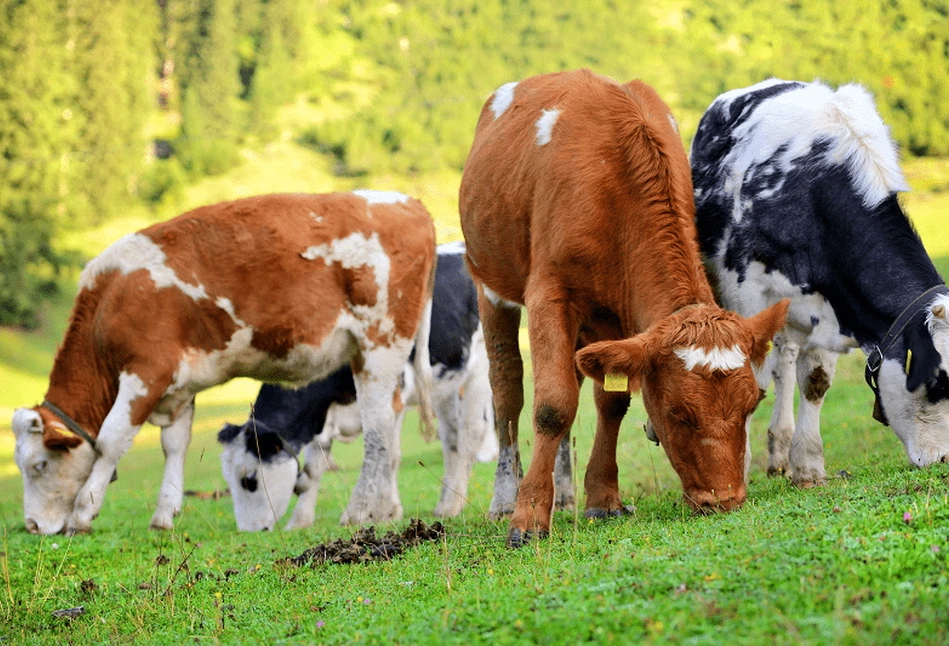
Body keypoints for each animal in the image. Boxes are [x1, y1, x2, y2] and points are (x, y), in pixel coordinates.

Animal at [10, 191, 436, 536]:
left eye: (38, 466)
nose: (32, 525)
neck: (109, 302)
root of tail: (408, 203)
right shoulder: (178, 386)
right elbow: (174, 444)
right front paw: (164, 514)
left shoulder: (146, 372)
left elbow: (109, 441)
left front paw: (84, 512)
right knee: (390, 424)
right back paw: (384, 510)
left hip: (380, 343)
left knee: (378, 426)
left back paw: (359, 510)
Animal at [217, 243, 496, 532]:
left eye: (249, 480)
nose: (248, 531)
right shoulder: (321, 414)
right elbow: (315, 468)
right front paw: (300, 520)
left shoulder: (392, 393)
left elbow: (387, 454)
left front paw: (371, 512)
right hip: (445, 387)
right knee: (452, 439)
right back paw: (447, 503)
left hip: (480, 369)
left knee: (471, 434)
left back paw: (454, 504)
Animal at [458, 69, 784, 548]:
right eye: (678, 413)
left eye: (750, 405)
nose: (725, 499)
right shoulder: (548, 293)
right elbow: (552, 404)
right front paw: (528, 514)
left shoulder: (618, 319)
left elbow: (610, 401)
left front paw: (602, 497)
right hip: (489, 283)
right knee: (507, 389)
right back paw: (504, 497)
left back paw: (565, 494)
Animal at [688, 78, 948, 486]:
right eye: (937, 382)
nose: (944, 460)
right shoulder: (747, 295)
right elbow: (747, 379)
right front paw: (734, 467)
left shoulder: (833, 303)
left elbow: (814, 381)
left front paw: (808, 466)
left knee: (784, 363)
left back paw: (780, 449)